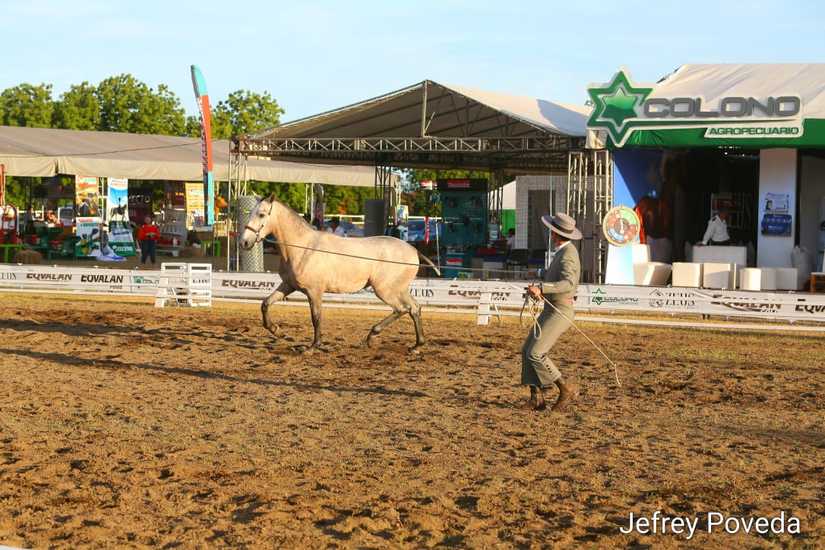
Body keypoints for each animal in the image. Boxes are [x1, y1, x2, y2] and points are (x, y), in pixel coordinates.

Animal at [240, 195, 440, 352]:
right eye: (249, 213)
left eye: (261, 214)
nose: (244, 242)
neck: (304, 248)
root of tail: (413, 250)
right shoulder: (288, 285)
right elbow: (265, 304)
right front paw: (276, 330)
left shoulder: (314, 291)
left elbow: (316, 317)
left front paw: (313, 346)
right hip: (399, 290)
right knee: (414, 308)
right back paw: (416, 345)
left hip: (385, 290)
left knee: (401, 309)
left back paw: (371, 337)